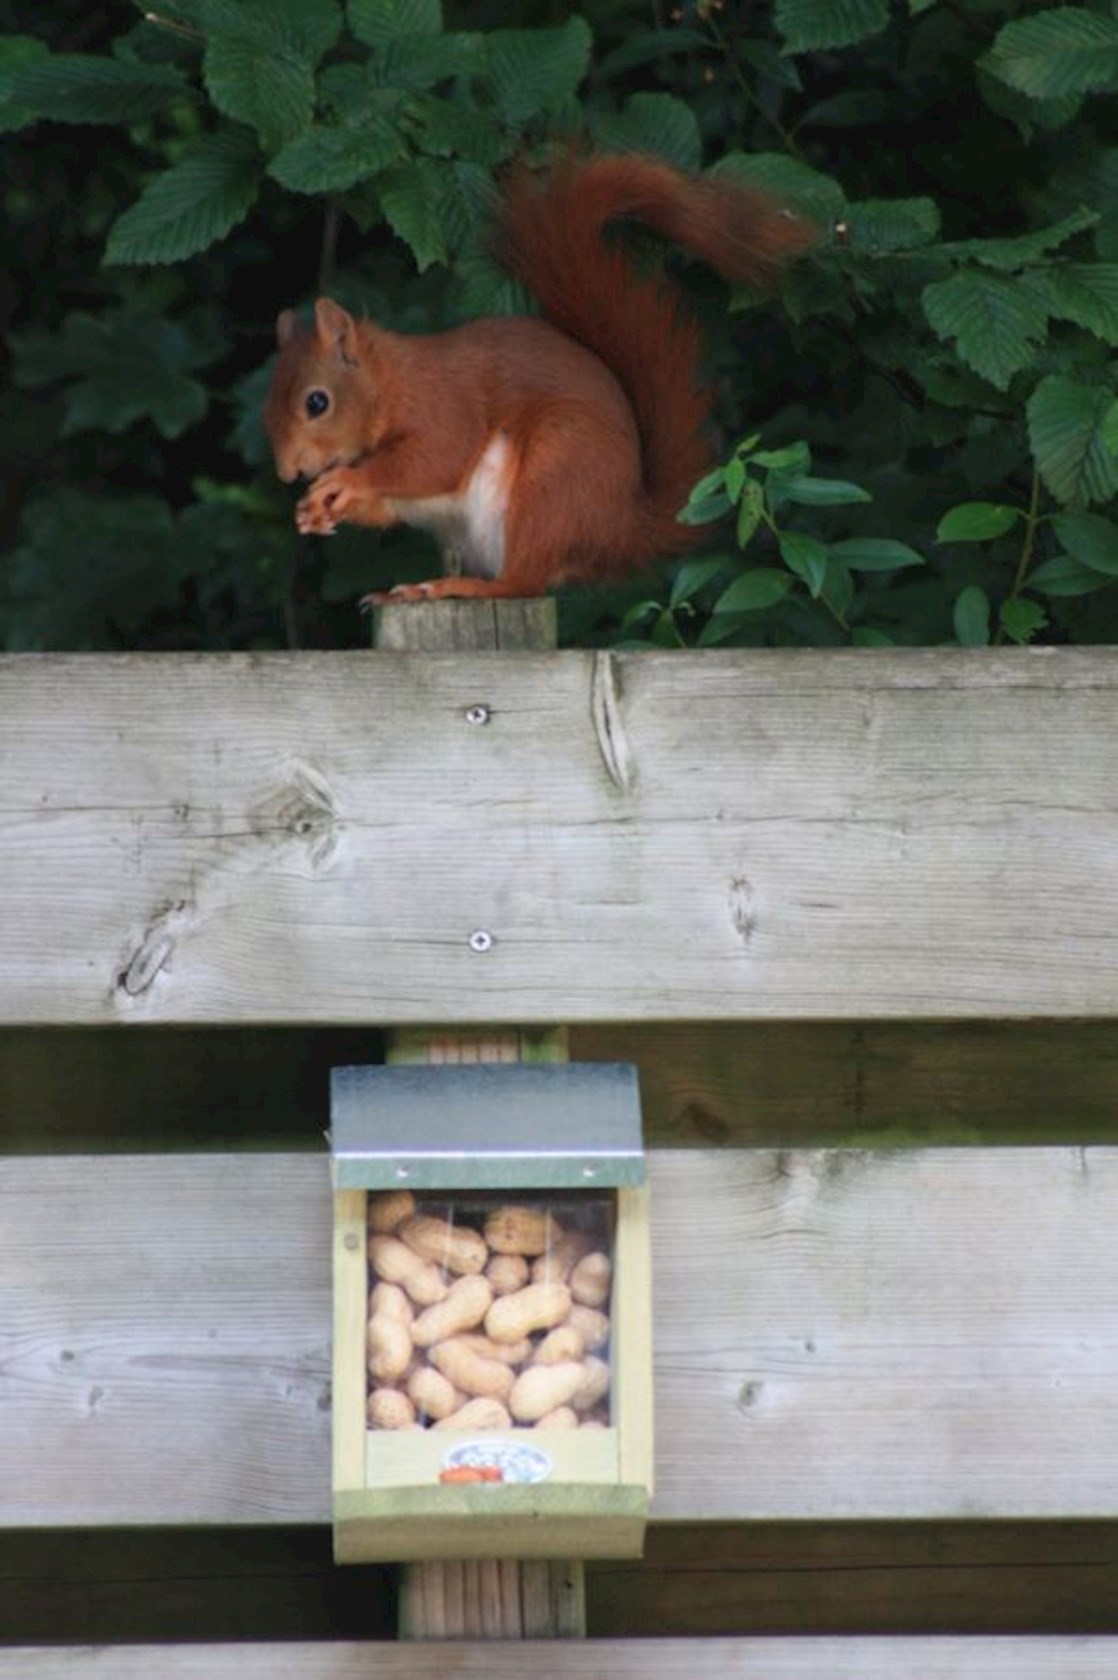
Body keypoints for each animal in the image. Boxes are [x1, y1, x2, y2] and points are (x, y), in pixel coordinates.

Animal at [265, 152, 817, 604]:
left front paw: (343, 482)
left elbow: (436, 457)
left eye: (317, 402)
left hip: (555, 477)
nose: (289, 474)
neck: (390, 382)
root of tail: (622, 530)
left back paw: (453, 588)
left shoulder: (444, 404)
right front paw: (315, 511)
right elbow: (389, 503)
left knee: (523, 582)